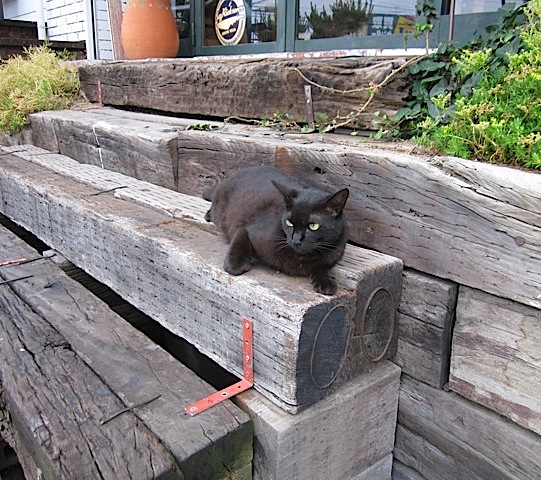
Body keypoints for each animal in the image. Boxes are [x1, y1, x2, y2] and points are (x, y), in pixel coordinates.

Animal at [204, 165, 350, 294]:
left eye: (313, 226)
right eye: (289, 222)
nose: (296, 240)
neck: (300, 258)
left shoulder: (332, 255)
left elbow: (321, 267)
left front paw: (325, 282)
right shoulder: (247, 230)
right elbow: (237, 247)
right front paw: (236, 265)